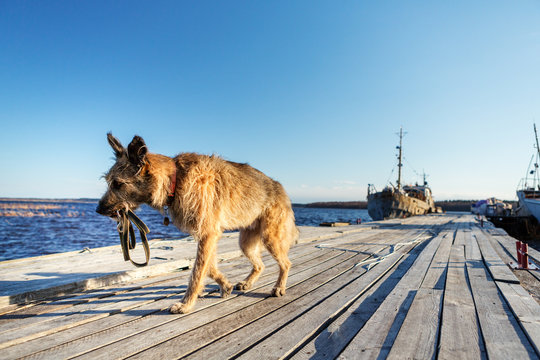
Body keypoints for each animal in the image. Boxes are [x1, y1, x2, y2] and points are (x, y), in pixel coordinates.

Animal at [97, 134, 300, 314]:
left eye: (118, 184)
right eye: (109, 182)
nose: (98, 210)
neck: (175, 179)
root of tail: (281, 189)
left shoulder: (208, 234)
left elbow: (197, 272)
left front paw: (186, 304)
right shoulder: (207, 236)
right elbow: (208, 267)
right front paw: (225, 285)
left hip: (270, 238)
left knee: (286, 263)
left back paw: (279, 287)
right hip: (246, 242)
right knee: (260, 265)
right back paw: (247, 282)